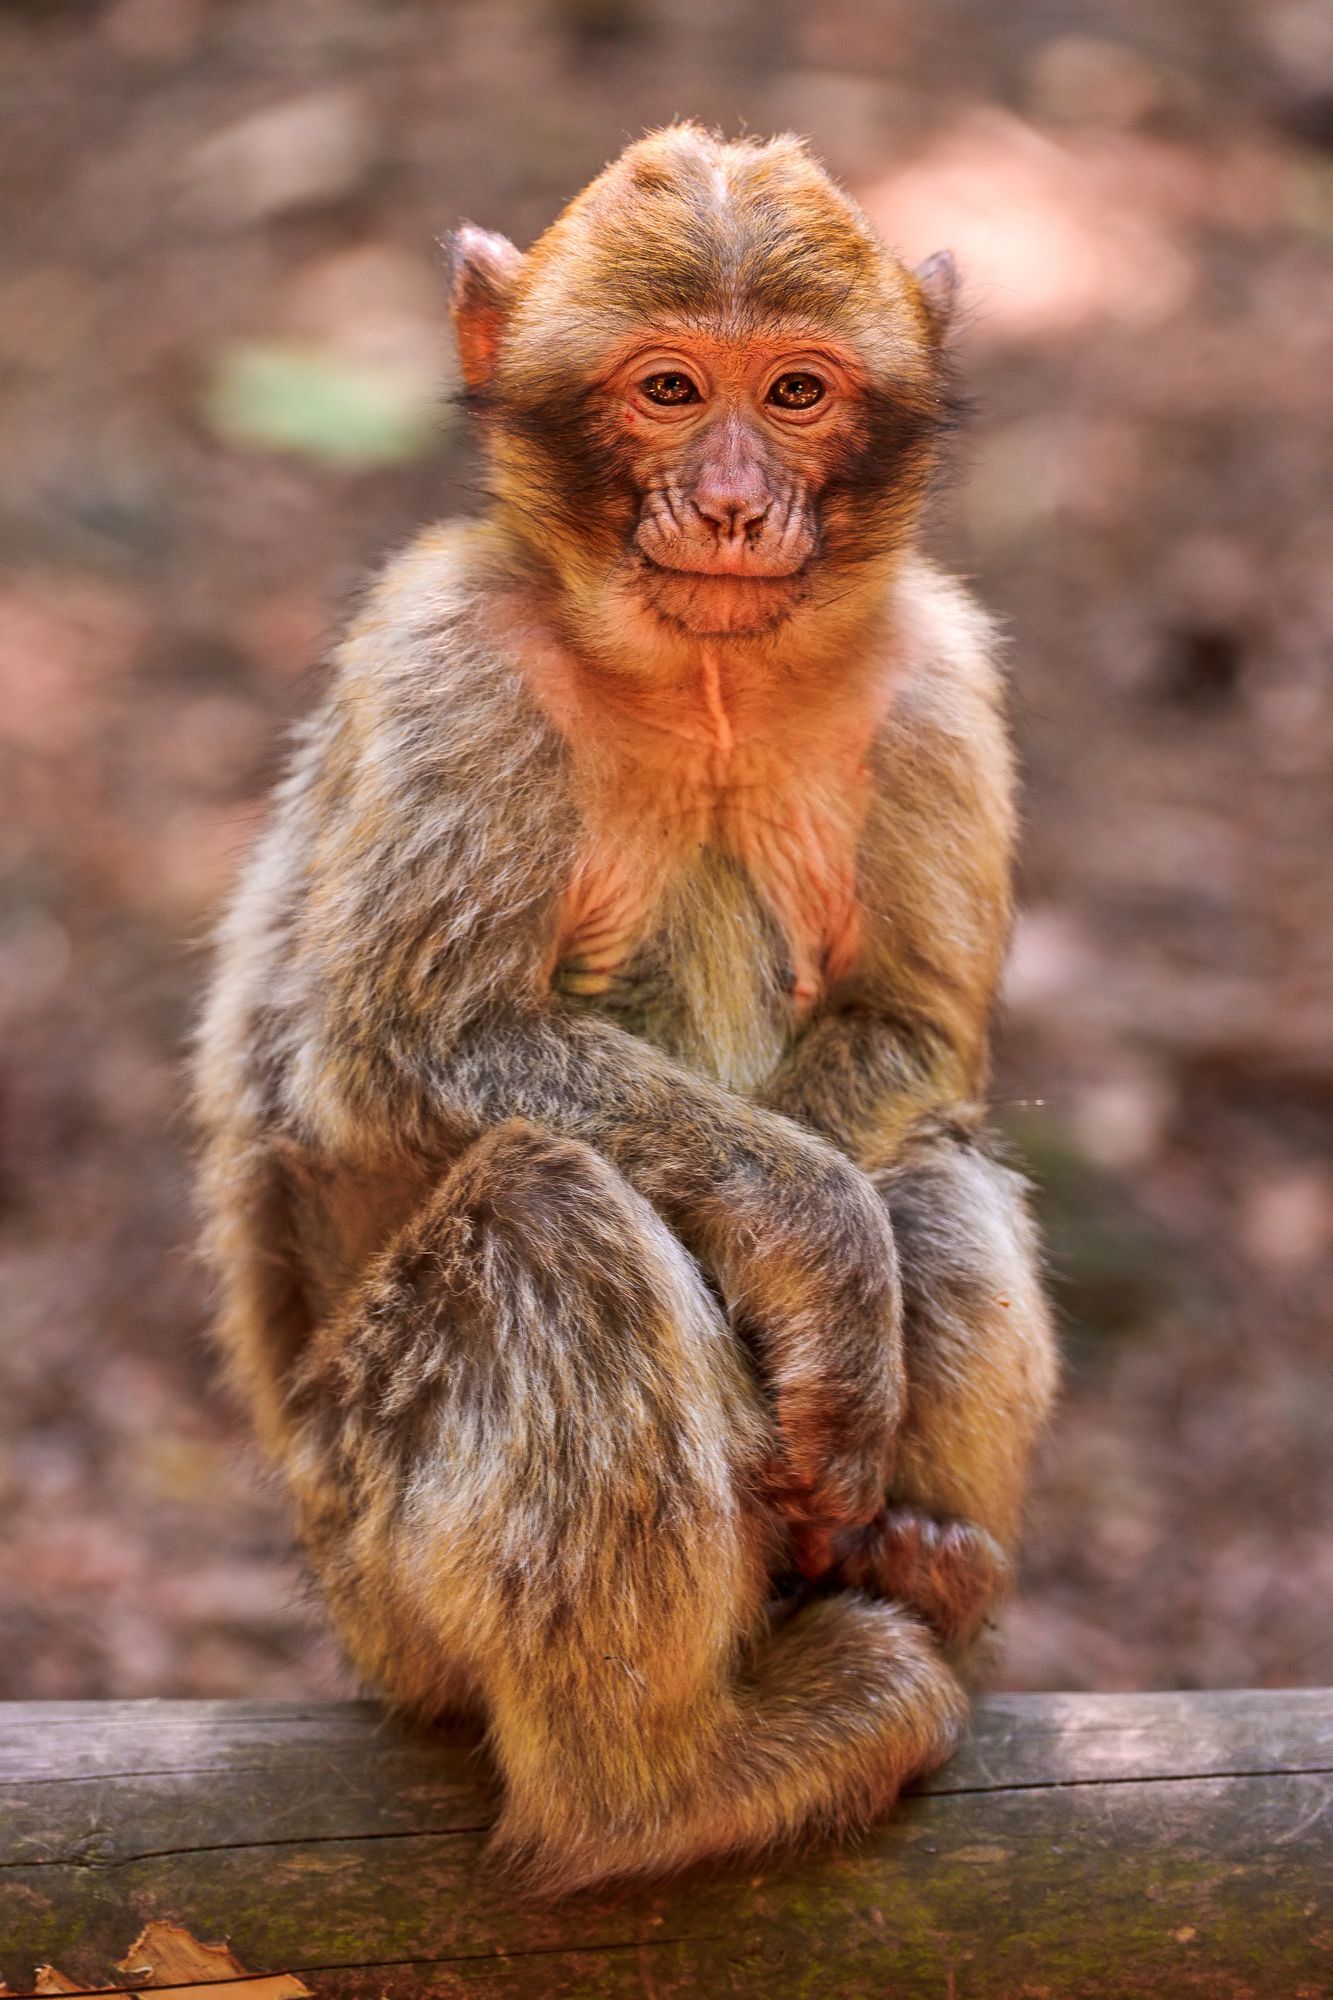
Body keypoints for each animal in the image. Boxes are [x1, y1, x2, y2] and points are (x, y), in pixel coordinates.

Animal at [195, 121, 1048, 1888]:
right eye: (666, 389)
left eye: (791, 393)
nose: (728, 501)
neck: (707, 687)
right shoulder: (447, 659)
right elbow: (397, 1048)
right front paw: (810, 1251)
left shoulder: (941, 677)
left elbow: (916, 1035)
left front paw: (834, 1305)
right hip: (375, 1567)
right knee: (547, 1215)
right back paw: (661, 1785)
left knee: (931, 1165)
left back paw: (913, 1558)